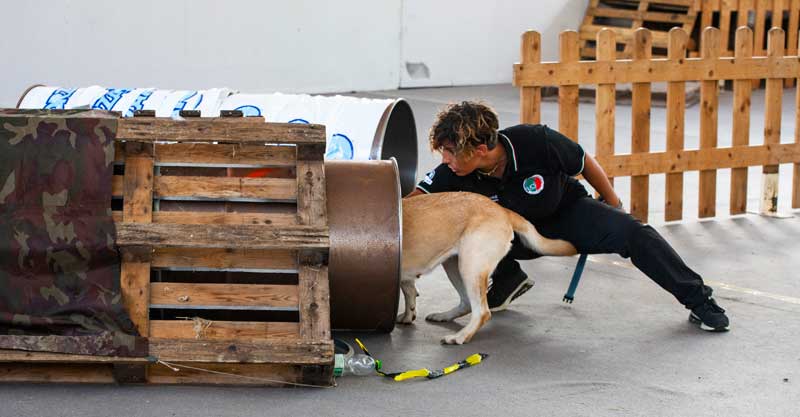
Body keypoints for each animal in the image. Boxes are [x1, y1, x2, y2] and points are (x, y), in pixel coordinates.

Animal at [398, 190, 576, 342]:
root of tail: (502, 210)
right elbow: (409, 292)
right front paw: (408, 315)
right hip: (454, 265)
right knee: (467, 303)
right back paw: (444, 316)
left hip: (470, 266)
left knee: (482, 312)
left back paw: (460, 336)